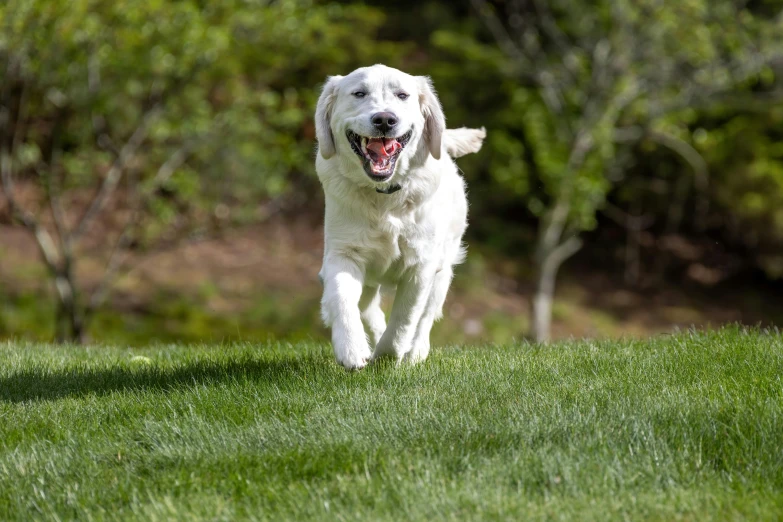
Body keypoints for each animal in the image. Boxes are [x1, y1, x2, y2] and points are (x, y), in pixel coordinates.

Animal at [316, 63, 486, 368]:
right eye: (359, 93)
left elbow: (405, 317)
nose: (385, 119)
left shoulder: (422, 266)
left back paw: (414, 353)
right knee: (368, 309)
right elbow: (342, 299)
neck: (384, 196)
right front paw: (352, 349)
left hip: (443, 272)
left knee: (425, 318)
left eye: (402, 95)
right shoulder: (342, 254)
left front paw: (388, 356)